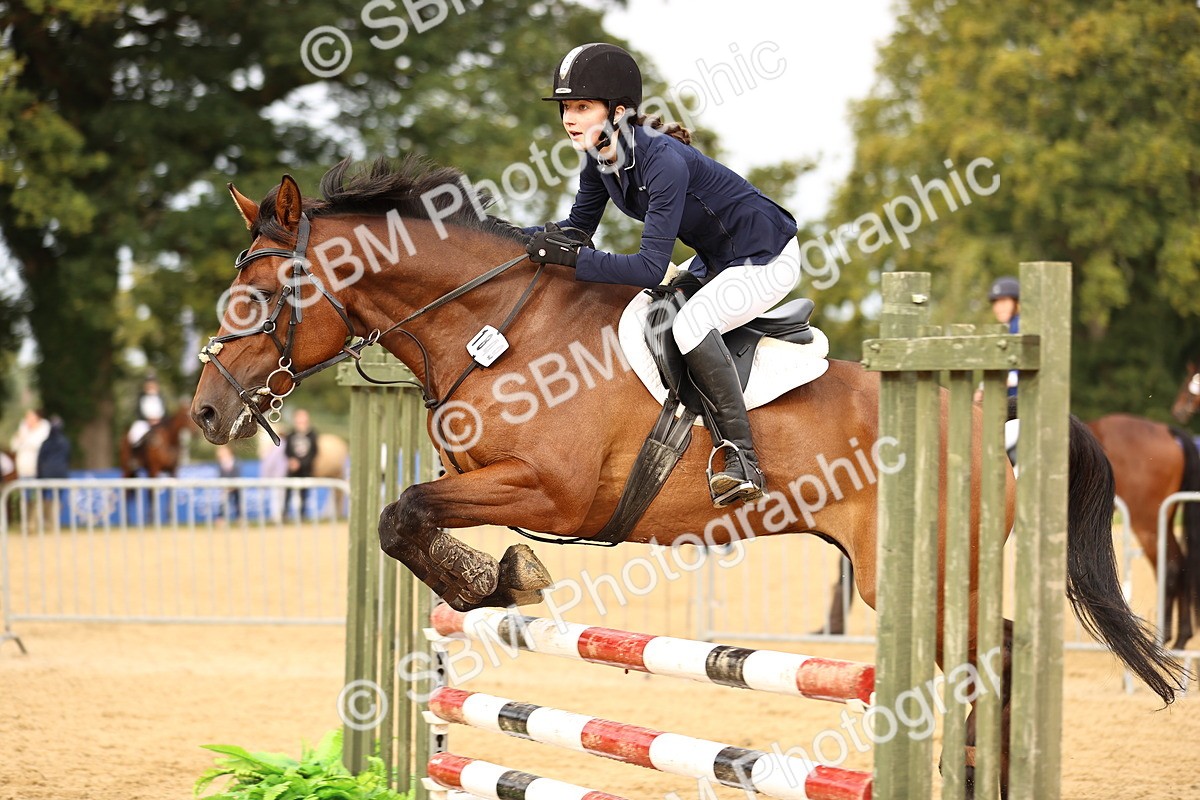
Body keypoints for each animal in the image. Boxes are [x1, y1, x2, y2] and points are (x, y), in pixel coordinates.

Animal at [189, 158, 1187, 795]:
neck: (495, 327)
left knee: (993, 658)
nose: (204, 413)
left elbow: (402, 515)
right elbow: (410, 520)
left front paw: (501, 577)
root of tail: (986, 413)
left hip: (928, 570)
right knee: (996, 653)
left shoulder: (552, 491)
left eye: (262, 296)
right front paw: (496, 577)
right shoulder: (481, 474)